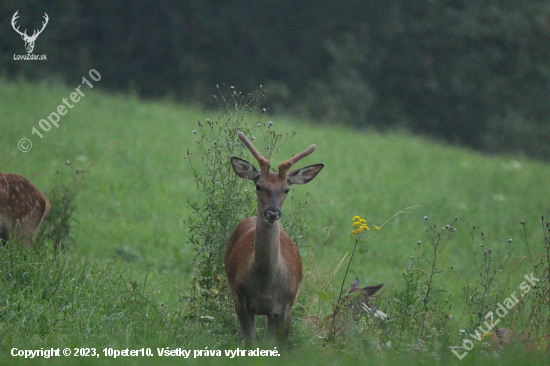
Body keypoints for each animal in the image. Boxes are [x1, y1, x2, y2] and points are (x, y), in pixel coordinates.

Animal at [226, 132, 326, 346]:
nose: (272, 213)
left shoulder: (286, 306)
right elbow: (251, 343)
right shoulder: (241, 300)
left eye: (286, 189)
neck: (265, 286)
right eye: (258, 185)